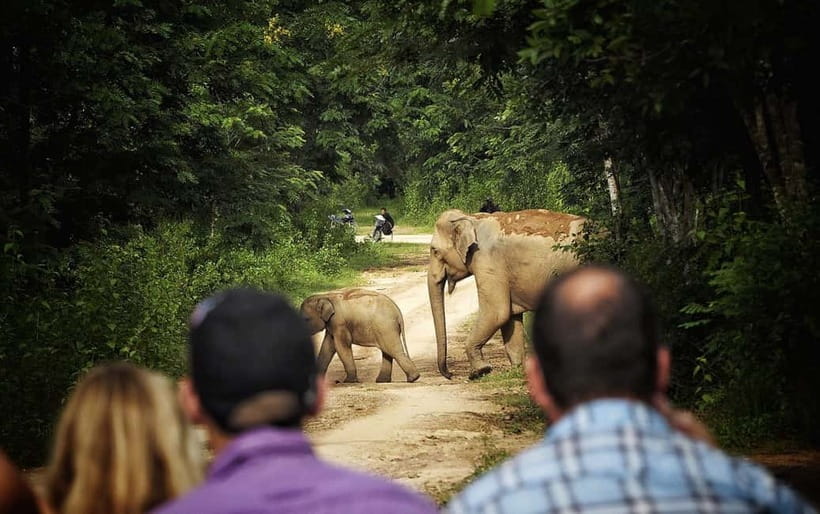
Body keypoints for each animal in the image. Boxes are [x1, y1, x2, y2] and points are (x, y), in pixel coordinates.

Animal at [428, 209, 586, 379]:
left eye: (435, 251)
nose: (450, 374)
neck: (472, 218)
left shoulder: (487, 262)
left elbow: (497, 313)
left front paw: (480, 372)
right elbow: (510, 317)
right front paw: (518, 369)